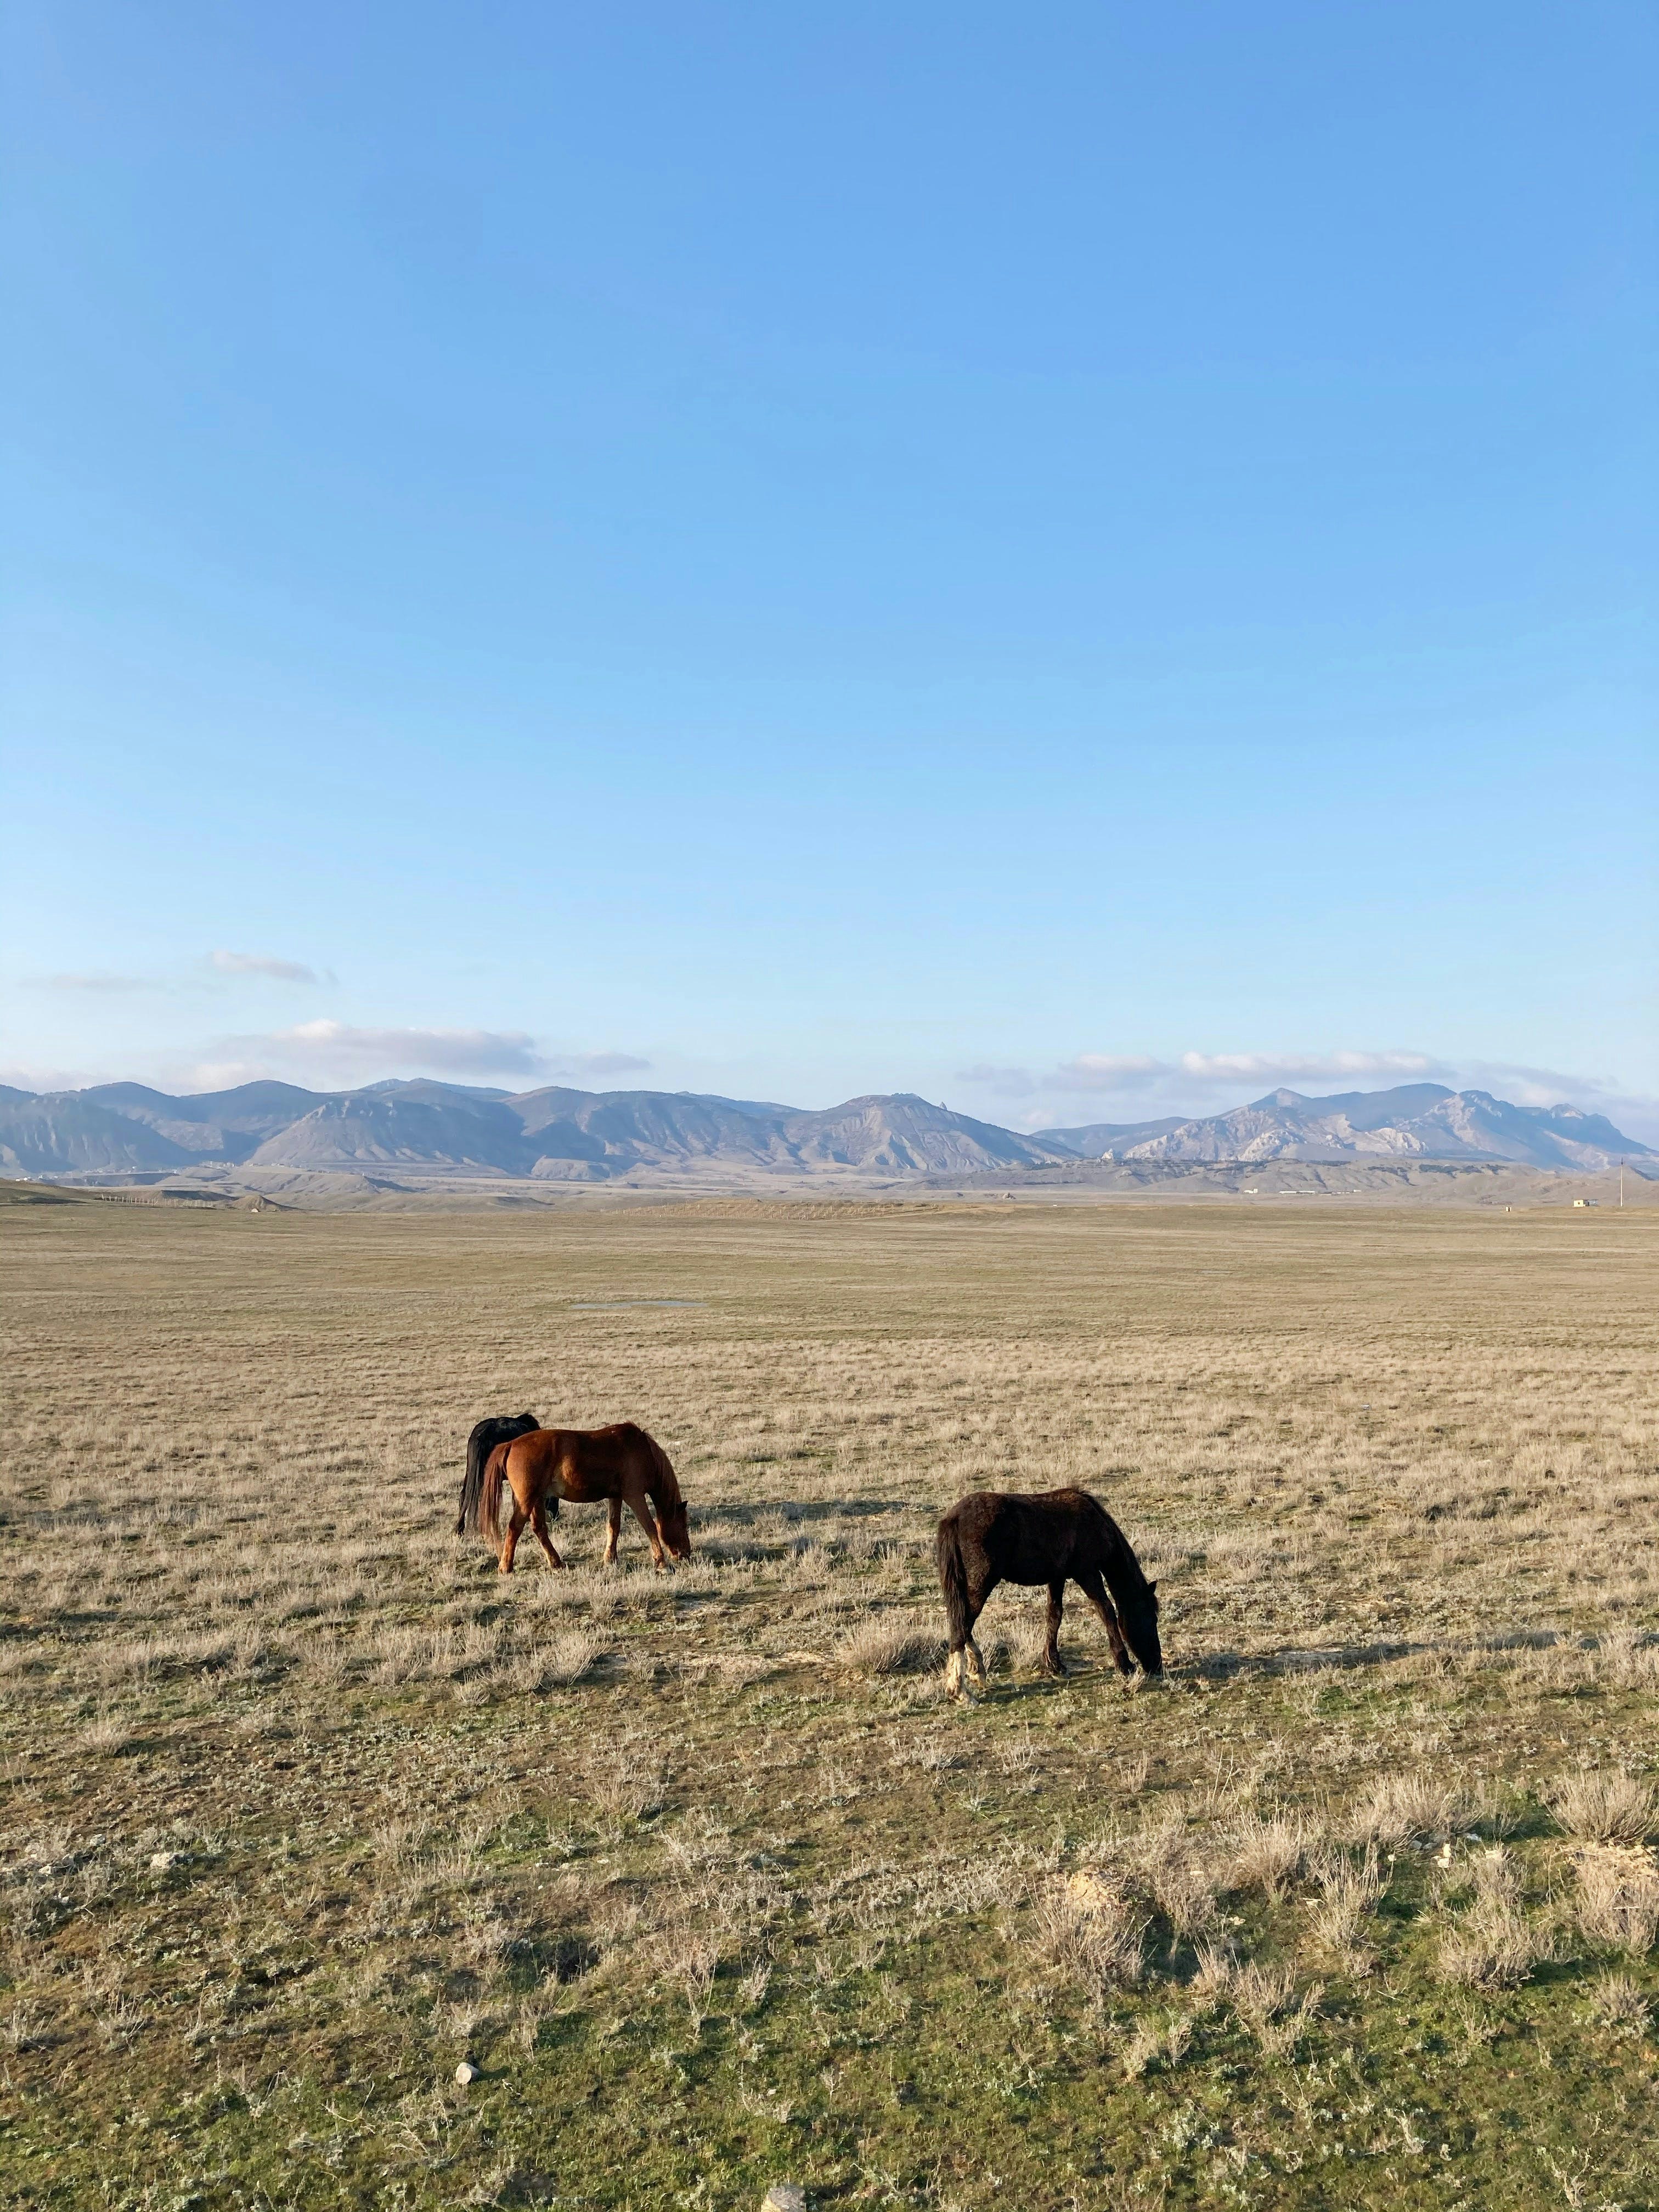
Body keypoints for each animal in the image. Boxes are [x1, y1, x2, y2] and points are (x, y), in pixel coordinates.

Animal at [478, 1423, 693, 1573]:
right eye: (683, 1525)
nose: (686, 1554)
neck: (641, 1451)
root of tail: (510, 1444)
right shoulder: (634, 1496)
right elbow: (650, 1527)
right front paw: (662, 1563)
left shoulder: (616, 1496)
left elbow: (614, 1527)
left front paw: (610, 1559)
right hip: (527, 1500)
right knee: (515, 1528)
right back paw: (506, 1567)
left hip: (537, 1499)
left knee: (539, 1529)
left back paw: (556, 1563)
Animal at [934, 1487, 1161, 1698]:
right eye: (1151, 1618)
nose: (1156, 1665)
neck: (1094, 1522)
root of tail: (954, 1517)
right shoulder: (1087, 1574)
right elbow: (1106, 1612)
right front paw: (1124, 1664)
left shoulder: (1058, 1578)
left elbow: (1055, 1615)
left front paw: (1054, 1665)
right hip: (981, 1583)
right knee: (961, 1626)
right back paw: (960, 1691)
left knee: (961, 1623)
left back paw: (976, 1672)